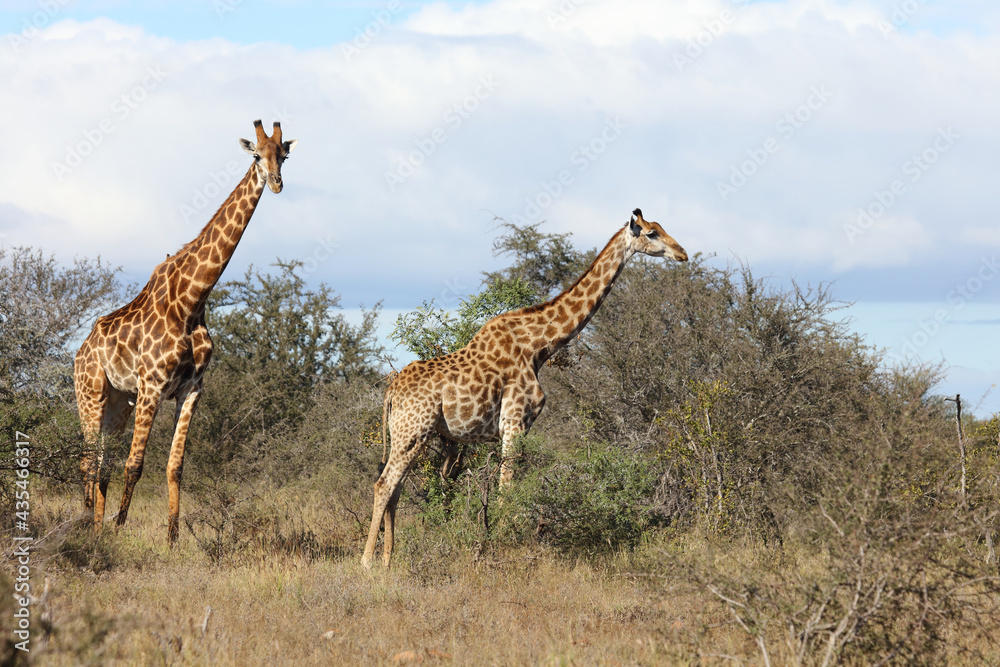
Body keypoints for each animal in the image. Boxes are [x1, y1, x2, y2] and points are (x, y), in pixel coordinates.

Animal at [73, 120, 297, 543]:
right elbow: (135, 464)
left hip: (118, 403)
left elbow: (175, 466)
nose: (277, 184)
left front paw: (173, 539)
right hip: (90, 393)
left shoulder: (191, 389)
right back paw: (85, 525)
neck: (192, 301)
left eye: (285, 155)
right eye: (256, 155)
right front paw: (120, 528)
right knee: (87, 461)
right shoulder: (152, 386)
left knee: (101, 463)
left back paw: (93, 525)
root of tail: (79, 351)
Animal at [362, 208, 688, 566]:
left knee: (395, 488)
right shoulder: (514, 422)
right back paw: (367, 562)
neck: (539, 346)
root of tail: (391, 390)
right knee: (383, 484)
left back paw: (388, 560)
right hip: (413, 430)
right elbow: (506, 491)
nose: (682, 253)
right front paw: (500, 545)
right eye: (651, 233)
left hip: (410, 434)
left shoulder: (518, 427)